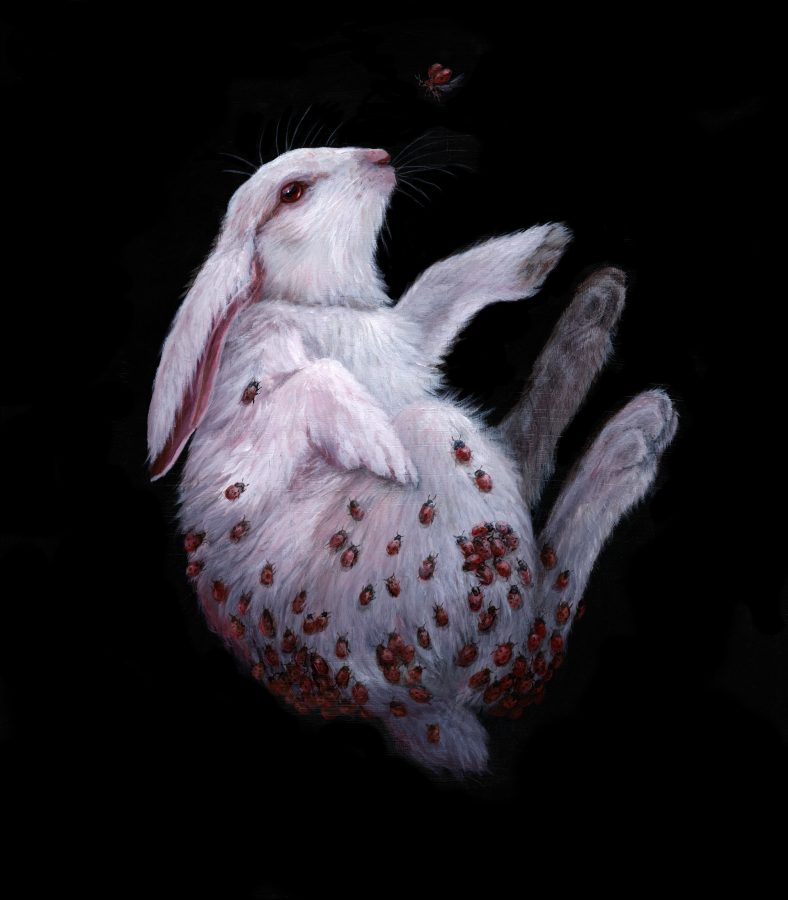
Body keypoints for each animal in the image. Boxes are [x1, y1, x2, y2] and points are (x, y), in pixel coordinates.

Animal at [148, 145, 677, 774]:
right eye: (293, 192)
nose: (379, 157)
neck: (314, 306)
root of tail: (407, 712)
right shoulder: (246, 429)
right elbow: (305, 390)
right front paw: (378, 445)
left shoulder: (408, 337)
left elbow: (433, 292)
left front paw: (540, 250)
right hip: (446, 497)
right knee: (522, 652)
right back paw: (633, 439)